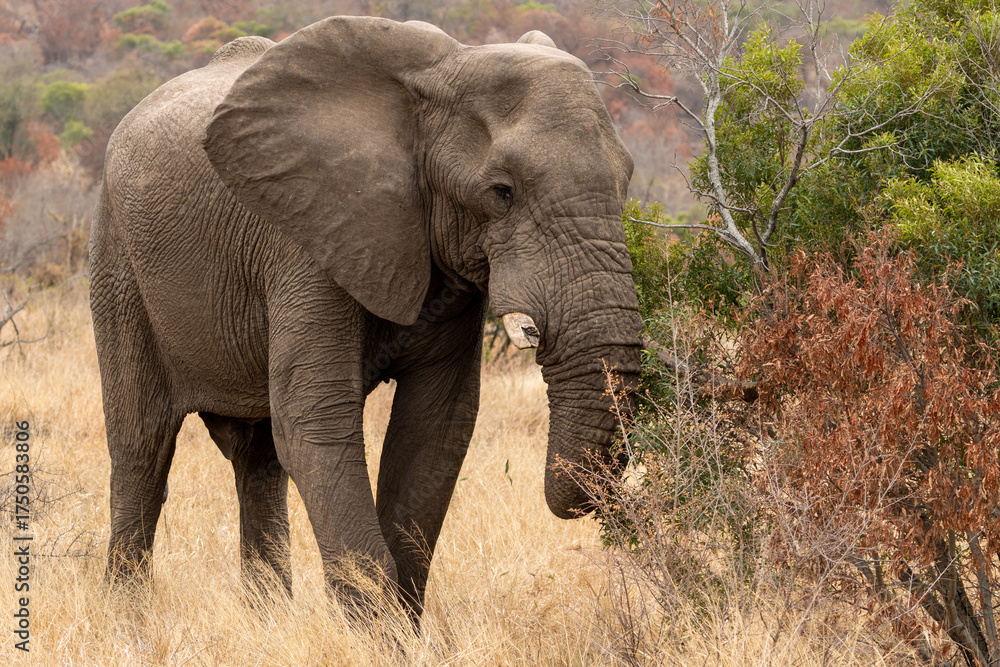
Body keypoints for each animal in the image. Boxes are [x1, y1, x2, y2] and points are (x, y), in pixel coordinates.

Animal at [89, 16, 642, 618]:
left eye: (627, 181)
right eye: (502, 192)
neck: (436, 79)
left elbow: (436, 425)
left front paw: (402, 627)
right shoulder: (306, 236)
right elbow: (316, 420)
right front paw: (377, 630)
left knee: (256, 458)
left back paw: (269, 618)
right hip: (118, 263)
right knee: (143, 447)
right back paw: (126, 615)